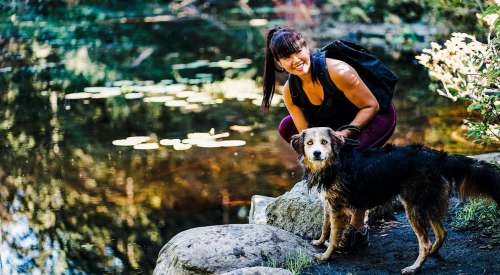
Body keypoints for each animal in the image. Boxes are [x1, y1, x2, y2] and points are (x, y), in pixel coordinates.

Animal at [290, 128, 500, 274]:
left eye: (324, 142)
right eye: (309, 143)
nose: (317, 153)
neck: (333, 162)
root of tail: (436, 156)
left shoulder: (337, 207)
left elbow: (333, 235)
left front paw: (326, 256)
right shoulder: (329, 202)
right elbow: (325, 227)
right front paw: (319, 241)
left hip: (413, 206)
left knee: (424, 242)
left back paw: (415, 267)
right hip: (428, 203)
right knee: (442, 233)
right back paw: (432, 253)